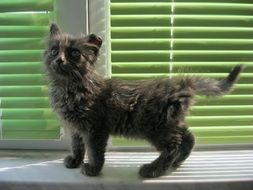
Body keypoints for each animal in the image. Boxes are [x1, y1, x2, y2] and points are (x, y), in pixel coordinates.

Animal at [43, 23, 243, 178]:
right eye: (54, 51)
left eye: (74, 53)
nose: (59, 60)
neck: (67, 87)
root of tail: (180, 85)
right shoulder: (75, 127)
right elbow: (77, 145)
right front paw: (75, 160)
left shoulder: (95, 128)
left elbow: (95, 151)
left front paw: (92, 169)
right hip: (171, 121)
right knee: (189, 138)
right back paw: (176, 163)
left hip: (154, 126)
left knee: (174, 145)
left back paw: (153, 169)